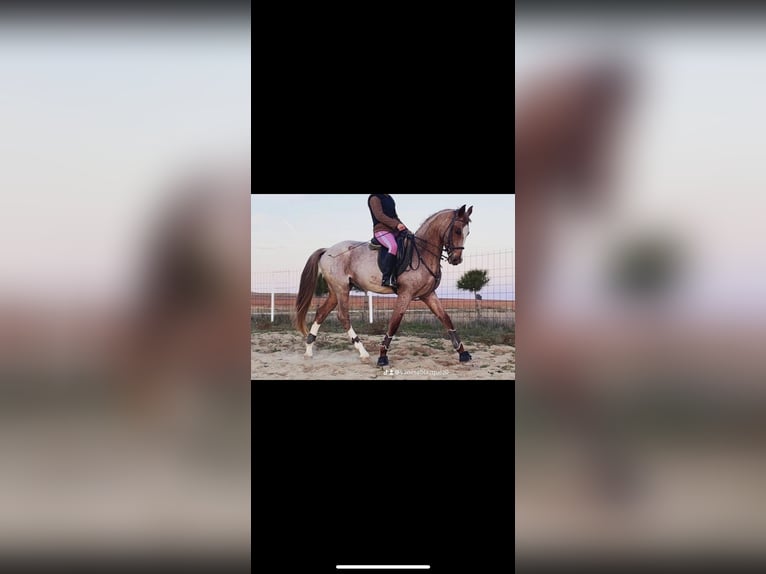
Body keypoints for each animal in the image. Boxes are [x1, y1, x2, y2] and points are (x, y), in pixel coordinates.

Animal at [294, 204, 474, 367]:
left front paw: (463, 353)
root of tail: (327, 251)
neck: (422, 253)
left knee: (321, 313)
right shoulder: (405, 294)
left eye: (468, 233)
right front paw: (382, 357)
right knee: (343, 316)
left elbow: (446, 319)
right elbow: (394, 323)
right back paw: (363, 353)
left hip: (335, 291)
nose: (456, 259)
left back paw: (309, 351)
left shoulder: (428, 295)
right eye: (457, 231)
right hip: (342, 289)